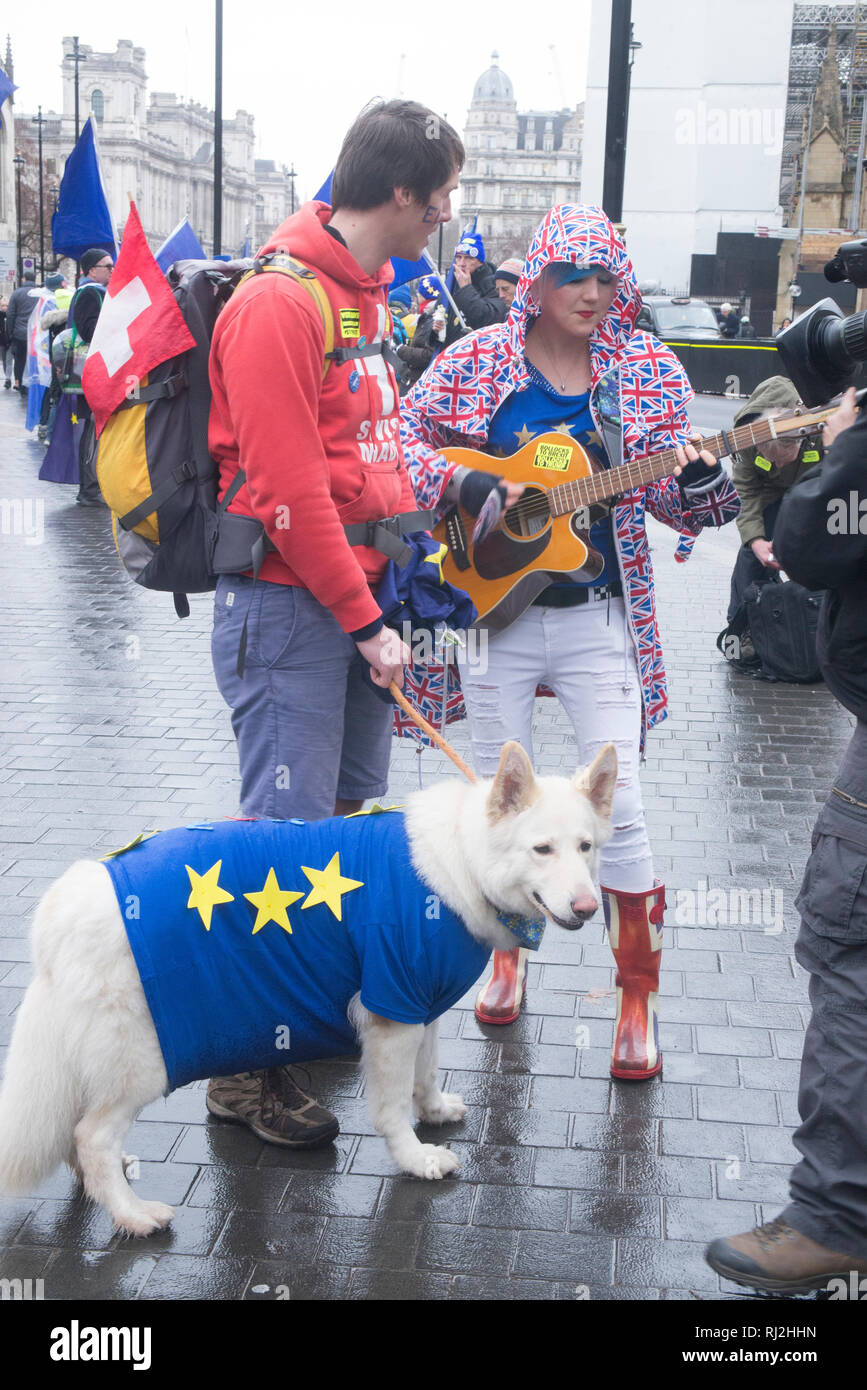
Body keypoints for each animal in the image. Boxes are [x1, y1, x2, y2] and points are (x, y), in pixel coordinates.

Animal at [0, 745, 616, 1234]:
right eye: (542, 850)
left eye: (586, 848)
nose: (589, 909)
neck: (461, 860)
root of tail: (65, 902)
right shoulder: (392, 1014)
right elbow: (392, 1106)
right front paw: (415, 1159)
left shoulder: (421, 1008)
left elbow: (425, 1075)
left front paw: (435, 1110)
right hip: (144, 1062)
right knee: (90, 1137)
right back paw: (132, 1214)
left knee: (76, 1133)